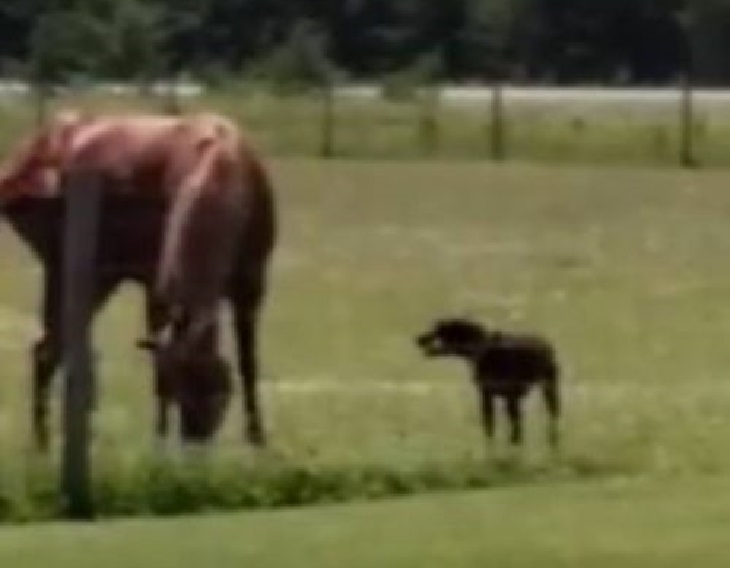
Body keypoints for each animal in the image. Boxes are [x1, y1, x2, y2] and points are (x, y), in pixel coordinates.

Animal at [0, 110, 276, 448]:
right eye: (180, 394)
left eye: (217, 395)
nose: (194, 442)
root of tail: (18, 163)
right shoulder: (160, 282)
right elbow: (159, 362)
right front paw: (158, 439)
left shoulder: (252, 281)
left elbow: (248, 364)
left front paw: (258, 438)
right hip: (64, 263)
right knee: (53, 349)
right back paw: (47, 440)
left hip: (97, 274)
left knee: (55, 346)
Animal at [416, 318, 556, 450]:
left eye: (438, 330)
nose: (417, 339)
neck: (483, 349)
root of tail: (546, 343)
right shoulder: (486, 396)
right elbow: (489, 427)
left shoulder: (511, 399)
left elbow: (515, 429)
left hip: (549, 389)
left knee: (552, 415)